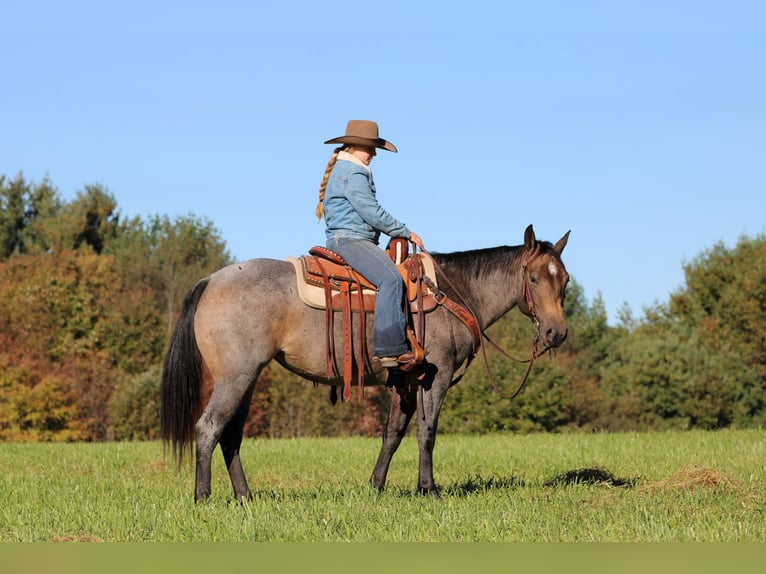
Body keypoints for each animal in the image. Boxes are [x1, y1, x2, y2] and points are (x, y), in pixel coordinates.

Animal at [161, 224, 570, 501]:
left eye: (564, 279)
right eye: (534, 278)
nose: (557, 333)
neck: (452, 293)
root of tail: (210, 280)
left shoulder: (406, 382)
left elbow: (393, 433)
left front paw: (376, 486)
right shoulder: (434, 378)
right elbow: (427, 432)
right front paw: (428, 489)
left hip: (247, 380)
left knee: (230, 435)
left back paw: (245, 498)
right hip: (235, 378)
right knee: (208, 429)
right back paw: (203, 498)